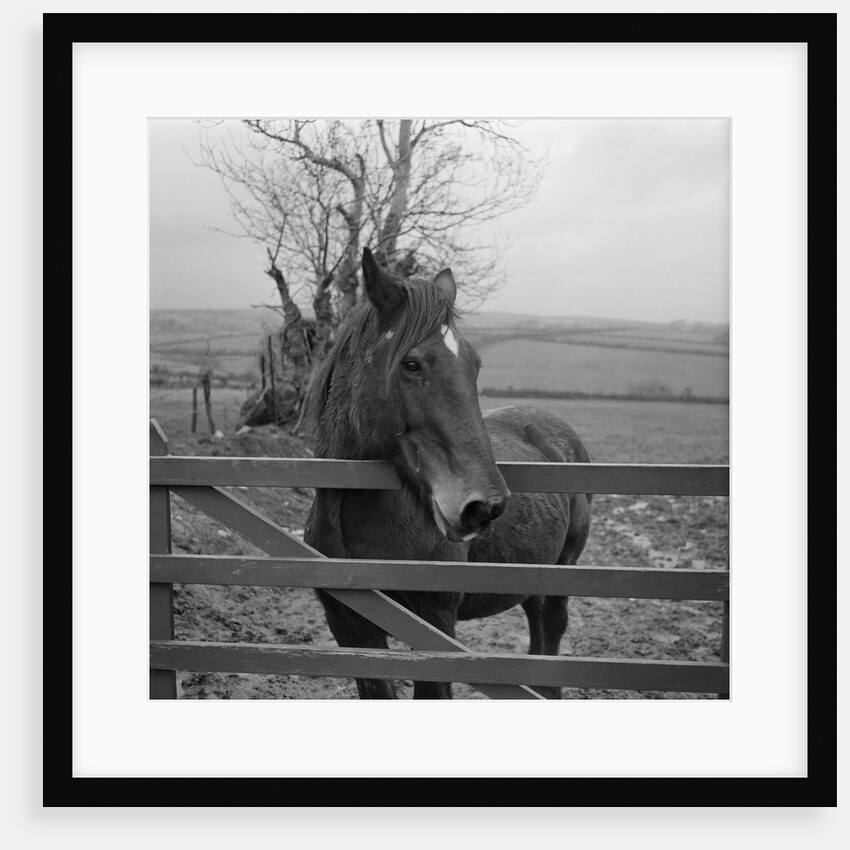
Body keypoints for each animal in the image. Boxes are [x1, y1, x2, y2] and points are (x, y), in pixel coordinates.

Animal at [303, 248, 593, 698]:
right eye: (411, 364)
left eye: (475, 365)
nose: (485, 506)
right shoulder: (350, 627)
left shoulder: (434, 626)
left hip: (565, 568)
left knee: (553, 626)